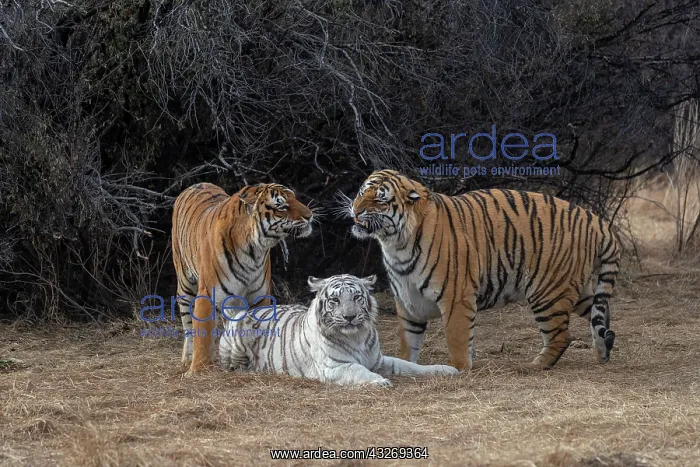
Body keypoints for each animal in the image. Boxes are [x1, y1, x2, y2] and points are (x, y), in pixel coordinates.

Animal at [172, 182, 313, 376]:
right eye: (281, 205)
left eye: (295, 198)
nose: (310, 216)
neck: (253, 250)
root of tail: (196, 184)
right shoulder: (207, 294)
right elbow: (203, 336)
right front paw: (198, 370)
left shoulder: (258, 296)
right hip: (186, 284)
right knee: (188, 325)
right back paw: (188, 359)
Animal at [218, 273, 459, 386]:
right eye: (334, 300)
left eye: (356, 297)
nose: (349, 317)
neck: (357, 337)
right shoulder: (335, 366)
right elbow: (359, 370)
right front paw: (380, 381)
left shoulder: (380, 360)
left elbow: (411, 366)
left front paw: (445, 369)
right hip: (239, 338)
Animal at [344, 169, 620, 372]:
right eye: (361, 192)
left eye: (380, 198)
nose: (356, 209)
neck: (395, 244)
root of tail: (597, 221)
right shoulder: (407, 299)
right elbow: (408, 341)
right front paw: (407, 365)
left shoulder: (455, 296)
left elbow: (457, 336)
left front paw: (459, 368)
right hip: (574, 288)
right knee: (601, 314)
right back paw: (604, 349)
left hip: (548, 292)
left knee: (562, 335)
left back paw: (534, 365)